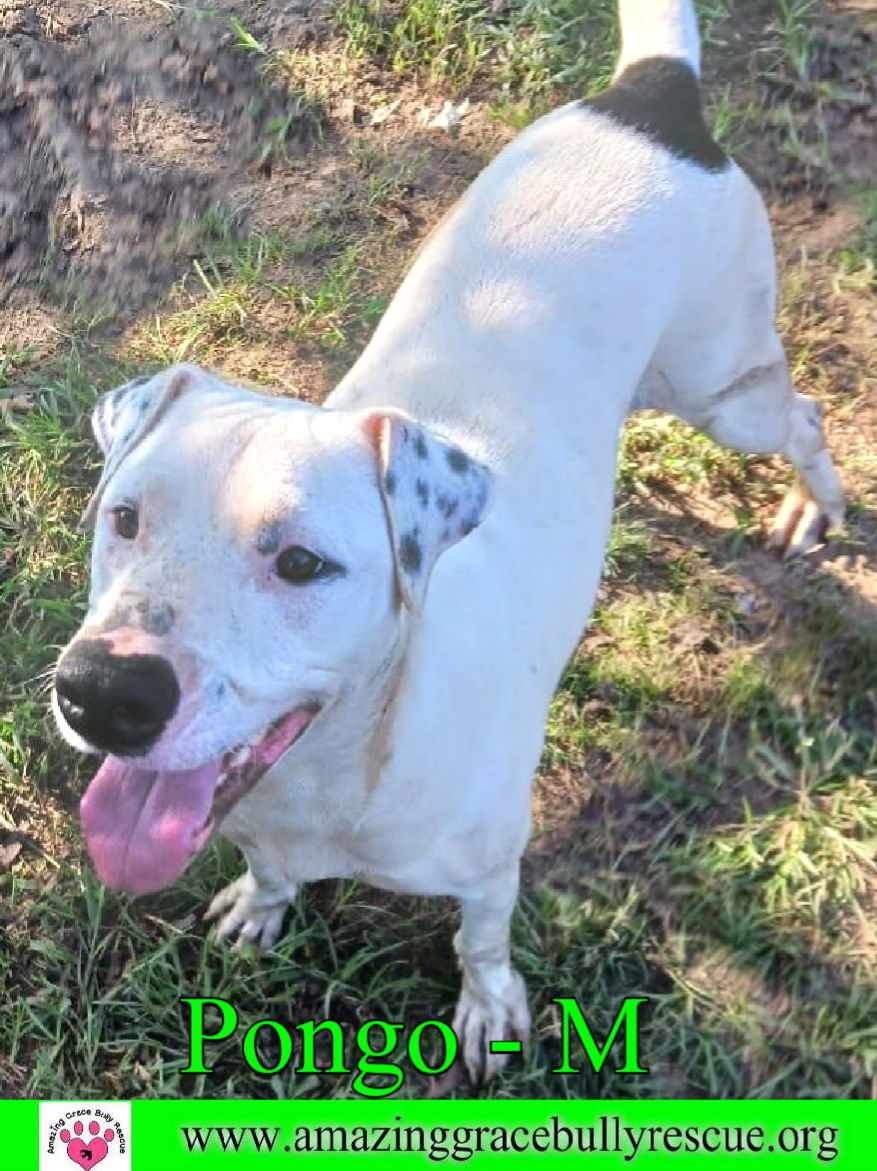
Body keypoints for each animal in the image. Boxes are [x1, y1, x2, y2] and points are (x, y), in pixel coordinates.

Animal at [52, 0, 843, 1077]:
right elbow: (269, 872)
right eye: (124, 518)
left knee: (801, 415)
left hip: (723, 388)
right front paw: (263, 905)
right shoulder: (249, 820)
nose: (101, 693)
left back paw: (814, 503)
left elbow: (481, 938)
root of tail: (654, 91)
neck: (335, 772)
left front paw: (488, 1006)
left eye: (301, 562)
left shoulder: (491, 865)